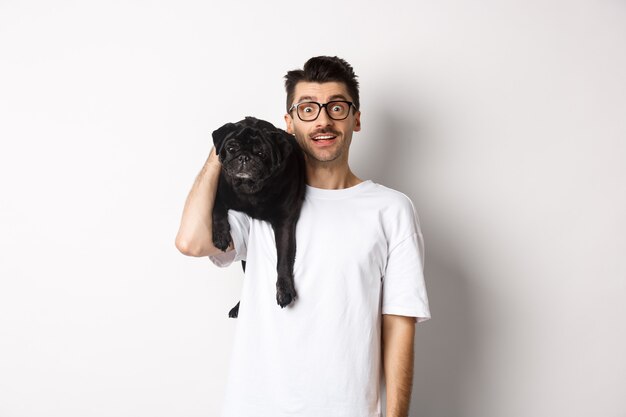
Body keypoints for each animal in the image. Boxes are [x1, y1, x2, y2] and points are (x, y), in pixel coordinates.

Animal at [211, 115, 306, 316]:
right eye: (231, 148)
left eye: (262, 153)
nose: (244, 157)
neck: (252, 192)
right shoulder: (219, 193)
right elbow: (217, 211)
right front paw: (221, 236)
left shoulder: (284, 223)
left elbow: (283, 260)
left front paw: (284, 290)